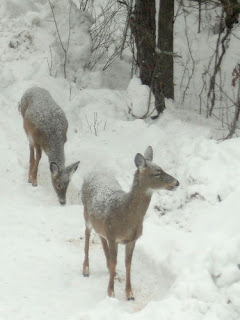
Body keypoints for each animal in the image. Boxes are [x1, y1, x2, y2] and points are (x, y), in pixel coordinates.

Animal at [81, 146, 179, 302]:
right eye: (157, 173)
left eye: (162, 168)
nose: (177, 182)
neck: (125, 215)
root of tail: (94, 171)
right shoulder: (113, 236)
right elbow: (116, 261)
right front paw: (111, 293)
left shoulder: (132, 239)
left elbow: (128, 263)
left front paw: (130, 294)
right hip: (86, 213)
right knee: (87, 235)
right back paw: (86, 269)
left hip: (101, 224)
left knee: (100, 236)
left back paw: (110, 270)